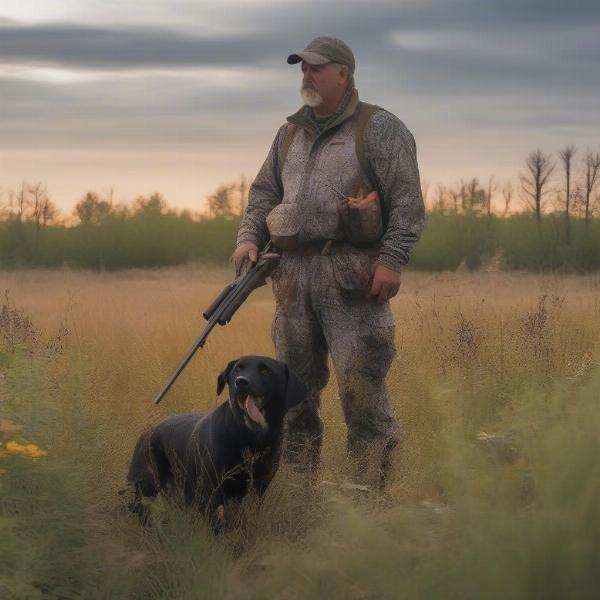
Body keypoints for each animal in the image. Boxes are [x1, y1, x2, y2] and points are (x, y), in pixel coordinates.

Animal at [125, 356, 304, 528]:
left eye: (265, 371)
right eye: (237, 369)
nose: (241, 381)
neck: (249, 440)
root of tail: (146, 432)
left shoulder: (256, 491)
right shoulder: (211, 493)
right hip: (146, 487)